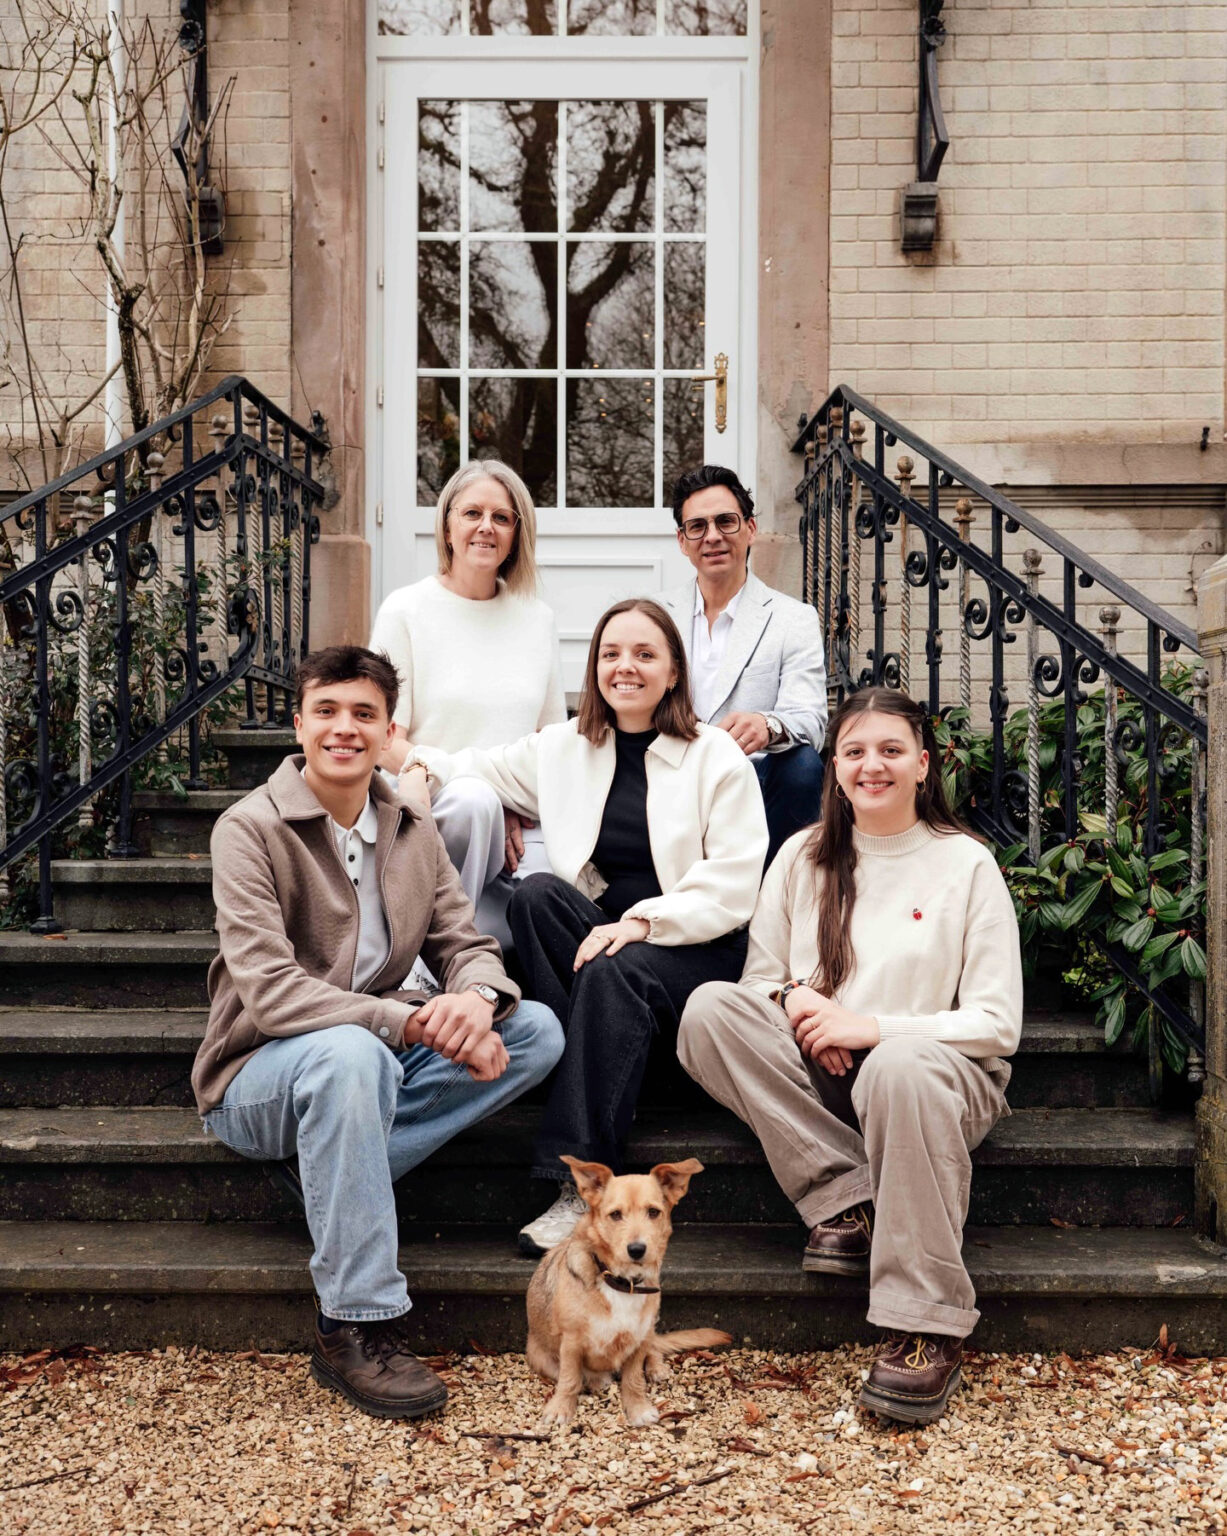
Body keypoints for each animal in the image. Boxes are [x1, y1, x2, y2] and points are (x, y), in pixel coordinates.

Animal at [525, 1154, 732, 1429]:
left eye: (653, 1212)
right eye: (615, 1215)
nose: (636, 1249)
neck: (622, 1281)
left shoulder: (639, 1339)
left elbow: (634, 1380)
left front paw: (638, 1408)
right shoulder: (570, 1343)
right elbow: (569, 1379)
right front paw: (561, 1408)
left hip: (650, 1328)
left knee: (654, 1349)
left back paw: (656, 1368)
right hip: (539, 1355)